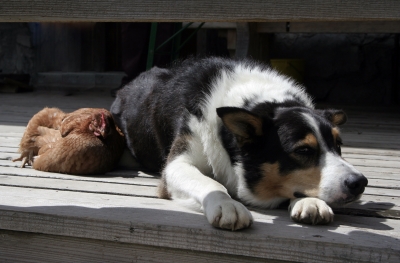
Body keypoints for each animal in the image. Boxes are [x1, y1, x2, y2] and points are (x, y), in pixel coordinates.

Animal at [111, 56, 368, 230]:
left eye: (338, 145)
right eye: (303, 150)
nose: (360, 182)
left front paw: (309, 200)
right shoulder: (176, 165)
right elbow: (211, 183)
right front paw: (227, 205)